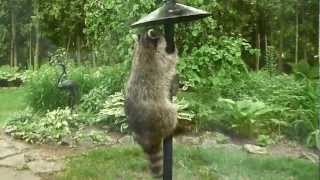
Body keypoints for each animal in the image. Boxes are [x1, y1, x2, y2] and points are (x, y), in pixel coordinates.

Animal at [125, 28, 179, 178]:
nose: (158, 32)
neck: (144, 47)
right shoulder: (159, 60)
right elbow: (171, 61)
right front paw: (172, 47)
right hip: (162, 114)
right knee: (172, 114)